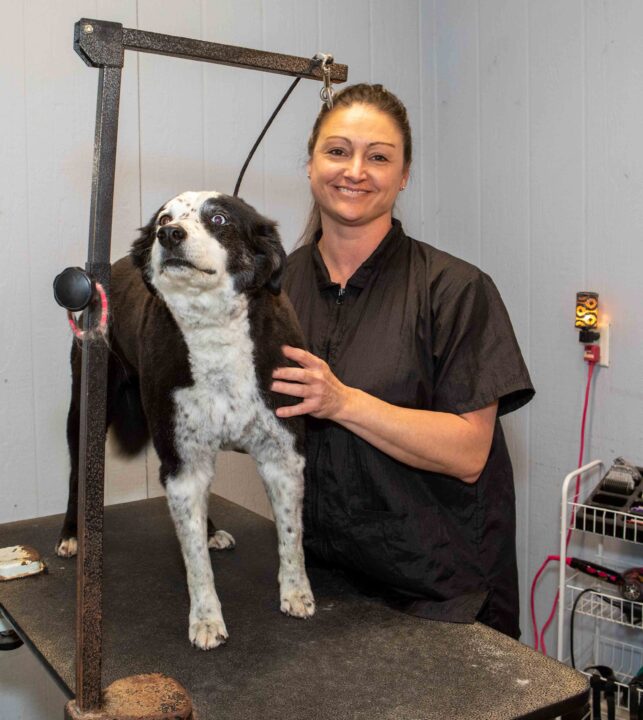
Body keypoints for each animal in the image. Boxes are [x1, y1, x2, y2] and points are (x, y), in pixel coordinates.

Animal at [55, 191, 316, 648]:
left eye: (219, 218)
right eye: (163, 218)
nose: (169, 235)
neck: (214, 332)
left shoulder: (282, 455)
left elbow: (290, 535)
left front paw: (296, 592)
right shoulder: (182, 466)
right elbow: (194, 561)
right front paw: (207, 619)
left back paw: (210, 531)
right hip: (86, 411)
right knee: (76, 477)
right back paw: (72, 534)